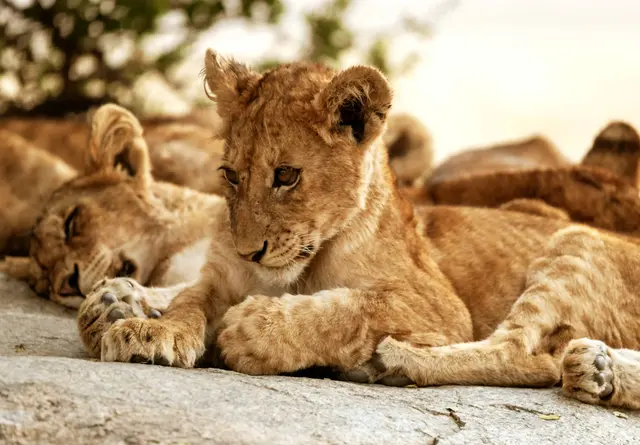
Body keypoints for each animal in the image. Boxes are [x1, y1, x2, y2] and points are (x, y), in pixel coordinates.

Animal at [69, 51, 640, 411]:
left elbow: (350, 307)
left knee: (528, 356)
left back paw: (394, 361)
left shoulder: (439, 305)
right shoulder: (222, 276)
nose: (251, 251)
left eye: (286, 176)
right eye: (230, 175)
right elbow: (191, 298)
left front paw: (255, 329)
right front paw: (151, 330)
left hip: (575, 241)